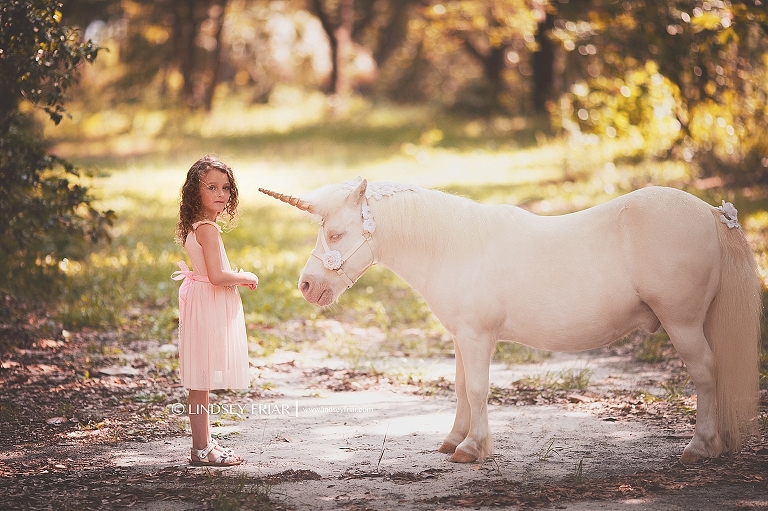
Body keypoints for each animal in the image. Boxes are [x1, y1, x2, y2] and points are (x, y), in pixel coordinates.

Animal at [260, 179, 760, 464]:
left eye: (336, 233)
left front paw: (471, 450)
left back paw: (699, 448)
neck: (454, 246)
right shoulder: (462, 338)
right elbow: (462, 387)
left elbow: (479, 390)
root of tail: (713, 213)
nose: (307, 286)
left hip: (683, 324)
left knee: (706, 374)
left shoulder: (478, 337)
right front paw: (454, 440)